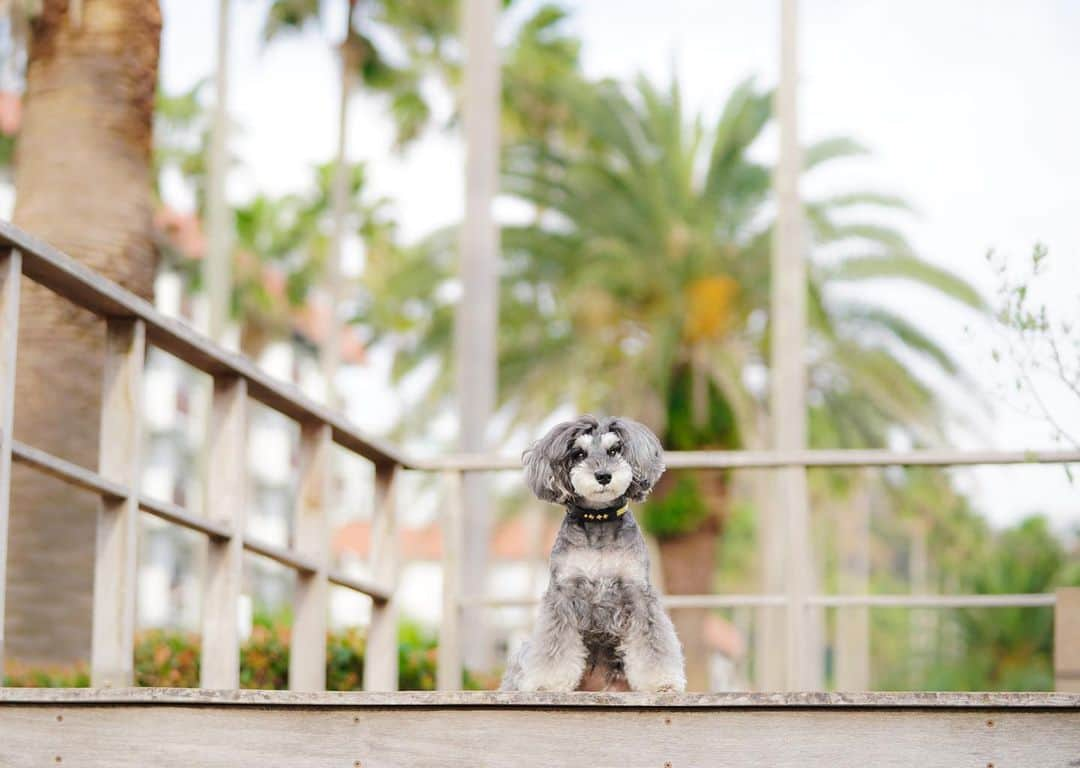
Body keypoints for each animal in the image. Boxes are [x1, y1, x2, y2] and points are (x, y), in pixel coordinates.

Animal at [501, 416, 686, 695]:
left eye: (614, 450)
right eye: (579, 454)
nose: (604, 476)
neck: (599, 519)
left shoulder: (638, 592)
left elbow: (652, 643)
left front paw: (661, 682)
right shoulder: (563, 593)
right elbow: (554, 645)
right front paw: (548, 682)